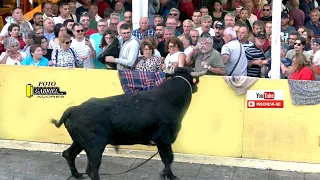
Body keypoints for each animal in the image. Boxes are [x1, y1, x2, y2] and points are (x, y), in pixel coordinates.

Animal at [51, 67, 208, 180]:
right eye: (192, 79)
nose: (196, 88)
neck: (170, 99)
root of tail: (74, 109)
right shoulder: (163, 139)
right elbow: (168, 158)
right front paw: (167, 175)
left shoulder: (164, 141)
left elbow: (167, 159)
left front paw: (169, 175)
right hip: (94, 146)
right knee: (92, 170)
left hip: (79, 142)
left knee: (68, 154)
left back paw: (77, 175)